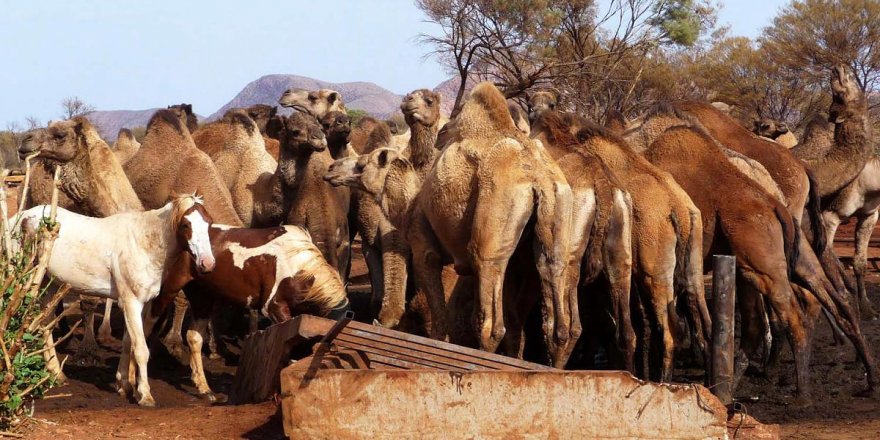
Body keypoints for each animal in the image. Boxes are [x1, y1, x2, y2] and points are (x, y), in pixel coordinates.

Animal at [18, 195, 215, 406]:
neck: (143, 243)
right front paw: (145, 395)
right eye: (186, 224)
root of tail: (22, 217)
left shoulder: (142, 305)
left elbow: (129, 342)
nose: (207, 263)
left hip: (51, 284)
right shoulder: (131, 303)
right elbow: (141, 349)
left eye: (209, 223)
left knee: (45, 323)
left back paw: (56, 374)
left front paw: (124, 385)